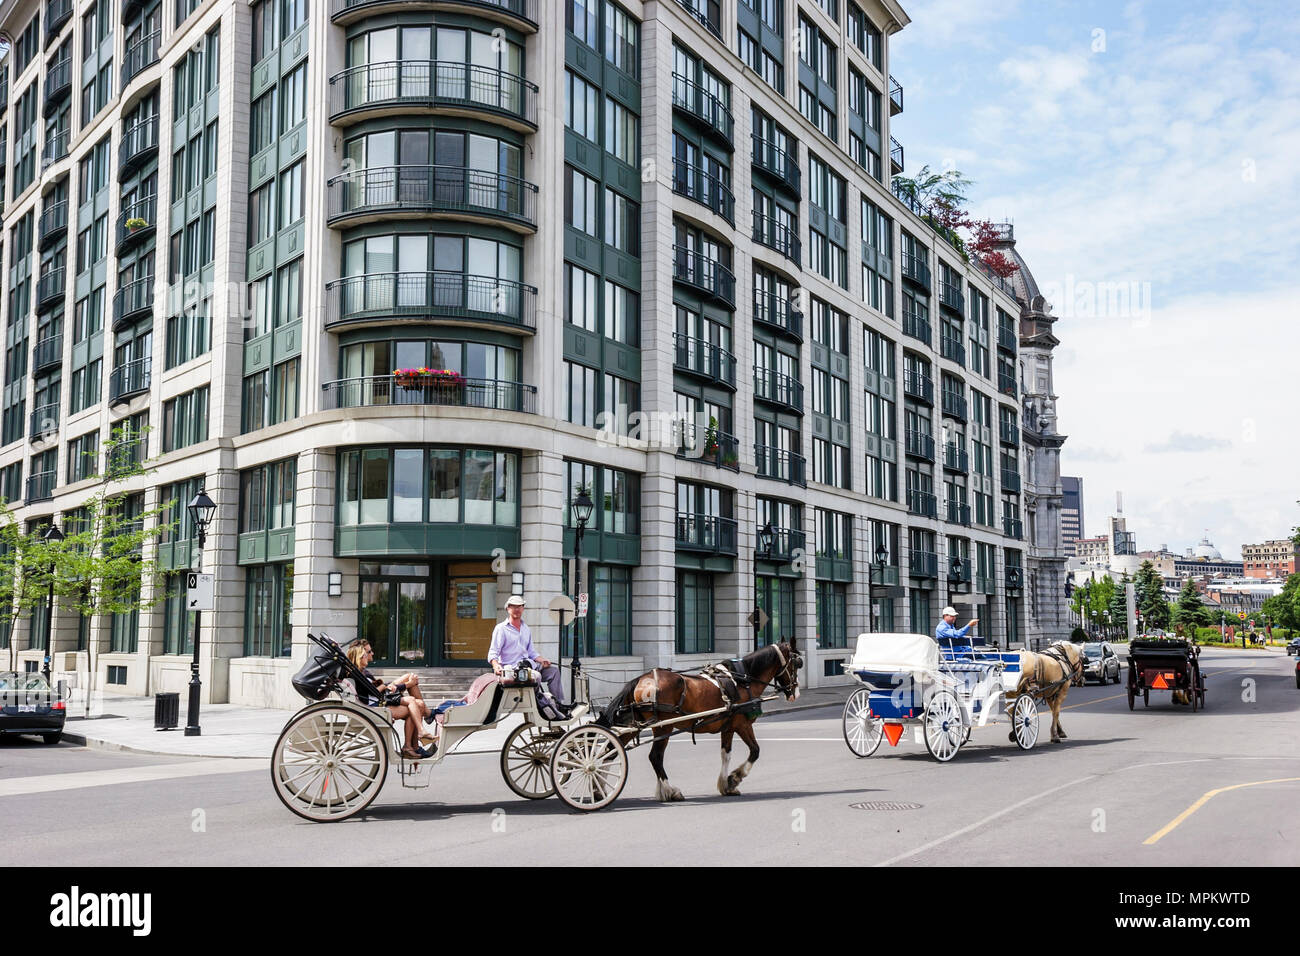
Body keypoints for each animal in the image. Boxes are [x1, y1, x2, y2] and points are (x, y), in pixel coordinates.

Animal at [598, 642, 800, 801]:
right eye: (797, 664)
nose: (795, 693)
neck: (743, 681)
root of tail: (641, 679)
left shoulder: (728, 727)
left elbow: (726, 755)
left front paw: (726, 785)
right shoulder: (742, 724)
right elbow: (755, 751)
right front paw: (735, 778)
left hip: (632, 725)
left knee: (610, 751)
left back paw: (599, 788)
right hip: (663, 727)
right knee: (655, 757)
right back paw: (670, 791)